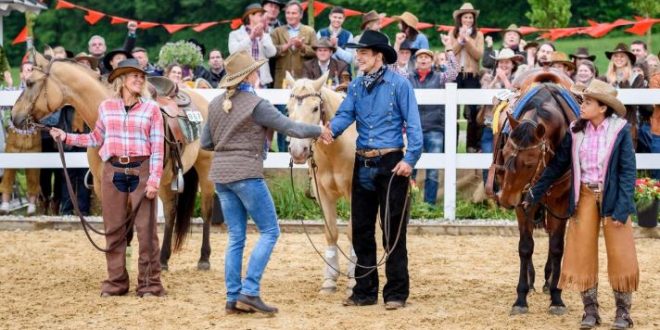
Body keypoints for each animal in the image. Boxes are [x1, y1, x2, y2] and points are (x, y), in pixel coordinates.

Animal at [10, 52, 217, 270]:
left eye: (30, 83)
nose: (14, 116)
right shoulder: (103, 186)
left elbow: (129, 229)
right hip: (165, 180)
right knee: (170, 212)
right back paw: (162, 260)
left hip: (205, 169)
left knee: (207, 210)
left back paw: (203, 258)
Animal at [284, 72, 356, 294]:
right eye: (287, 108)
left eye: (315, 108)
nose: (298, 151)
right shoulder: (321, 192)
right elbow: (331, 232)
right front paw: (329, 279)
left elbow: (353, 231)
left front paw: (354, 278)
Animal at [484, 68, 576, 316]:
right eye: (505, 152)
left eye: (529, 163)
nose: (505, 199)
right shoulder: (523, 201)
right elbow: (525, 247)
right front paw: (521, 297)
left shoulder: (560, 200)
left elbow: (557, 247)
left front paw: (556, 296)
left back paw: (547, 280)